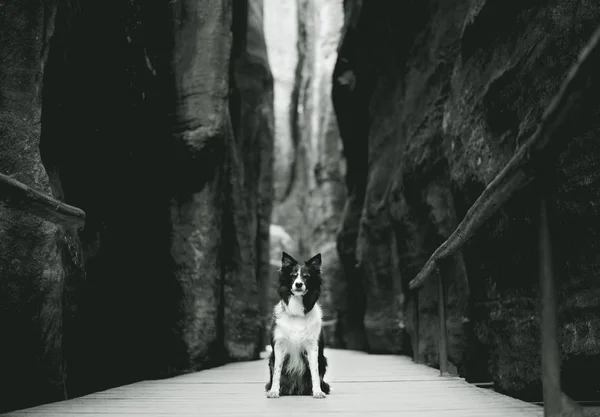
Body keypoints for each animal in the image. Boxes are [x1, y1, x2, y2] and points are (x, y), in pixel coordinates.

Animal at [264, 250, 330, 396]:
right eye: (293, 276)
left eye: (306, 276)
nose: (298, 284)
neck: (297, 313)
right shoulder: (279, 345)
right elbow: (277, 372)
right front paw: (274, 391)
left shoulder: (313, 346)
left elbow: (315, 372)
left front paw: (317, 392)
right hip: (271, 358)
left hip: (323, 359)